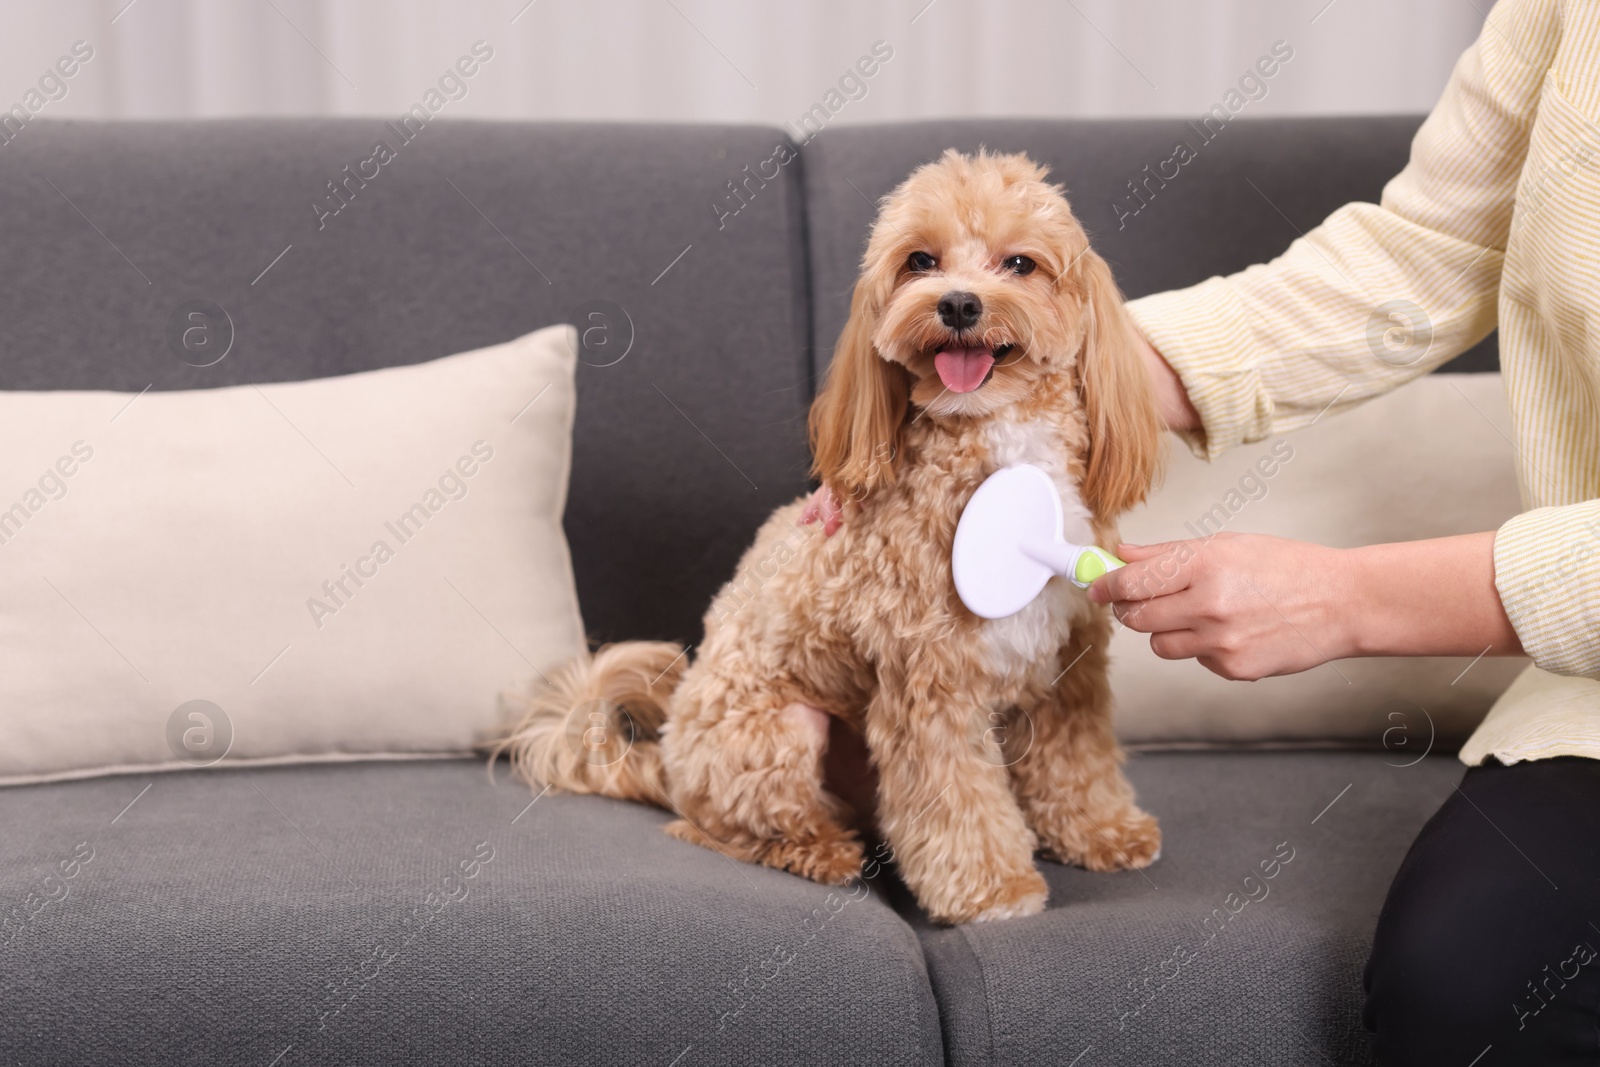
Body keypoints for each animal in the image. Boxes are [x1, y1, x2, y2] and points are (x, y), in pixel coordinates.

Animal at [505, 150, 1171, 927]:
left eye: (1020, 264)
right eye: (920, 261)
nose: (958, 304)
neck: (994, 440)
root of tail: (667, 762)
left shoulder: (1068, 668)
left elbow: (1077, 763)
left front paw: (1104, 832)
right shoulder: (929, 685)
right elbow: (957, 800)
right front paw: (993, 888)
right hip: (778, 733)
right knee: (721, 827)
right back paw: (822, 850)